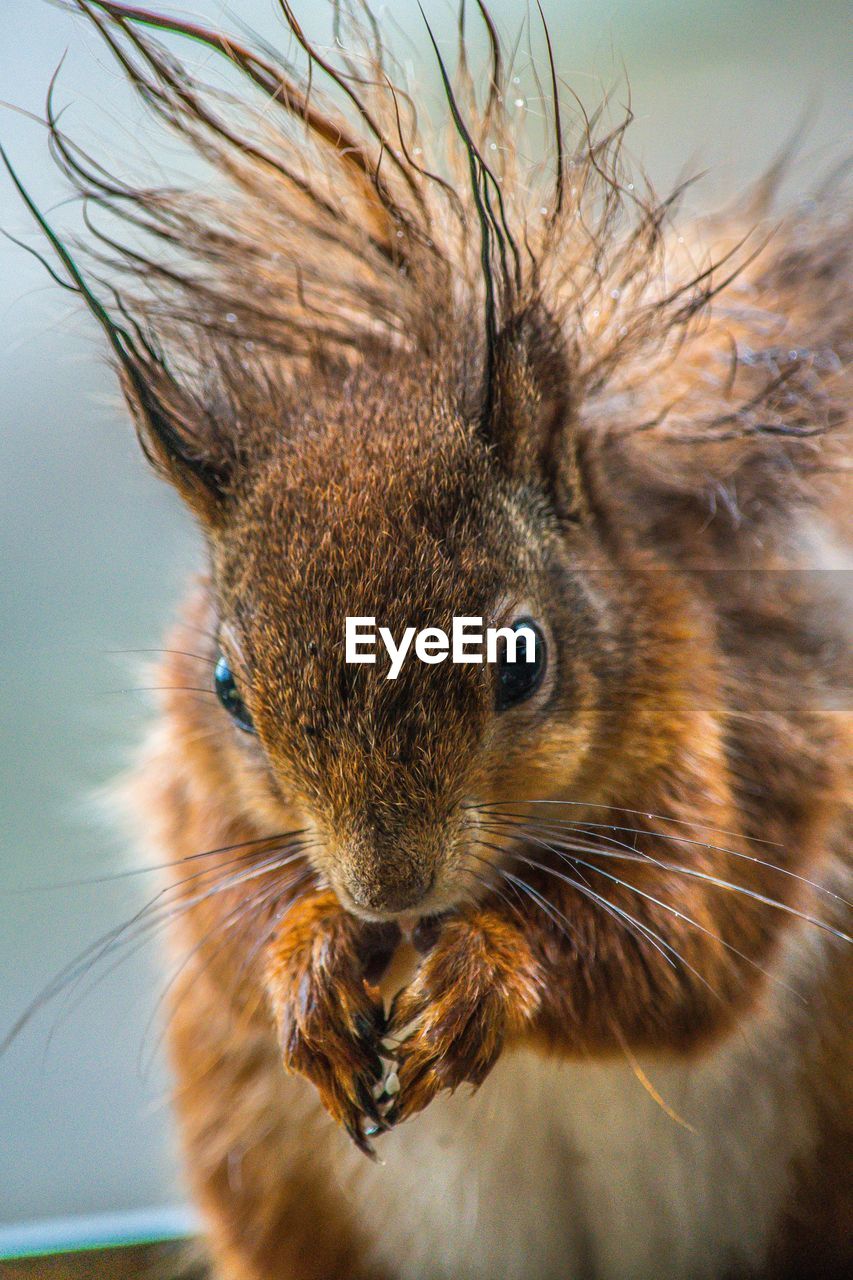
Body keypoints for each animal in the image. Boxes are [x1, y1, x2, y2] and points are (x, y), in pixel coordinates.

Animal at [4, 2, 845, 1280]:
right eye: (226, 685)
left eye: (521, 662)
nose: (386, 889)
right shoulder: (198, 792)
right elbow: (231, 919)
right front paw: (306, 959)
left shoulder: (748, 744)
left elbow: (678, 946)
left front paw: (493, 969)